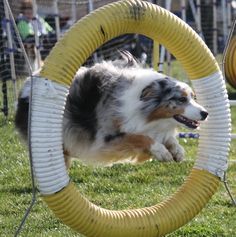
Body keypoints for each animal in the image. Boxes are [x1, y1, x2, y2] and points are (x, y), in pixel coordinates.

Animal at [14, 51, 207, 168]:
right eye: (181, 99)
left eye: (193, 97)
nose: (205, 113)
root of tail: (28, 84)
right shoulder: (107, 139)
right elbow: (140, 137)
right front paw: (161, 151)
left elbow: (168, 139)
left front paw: (177, 150)